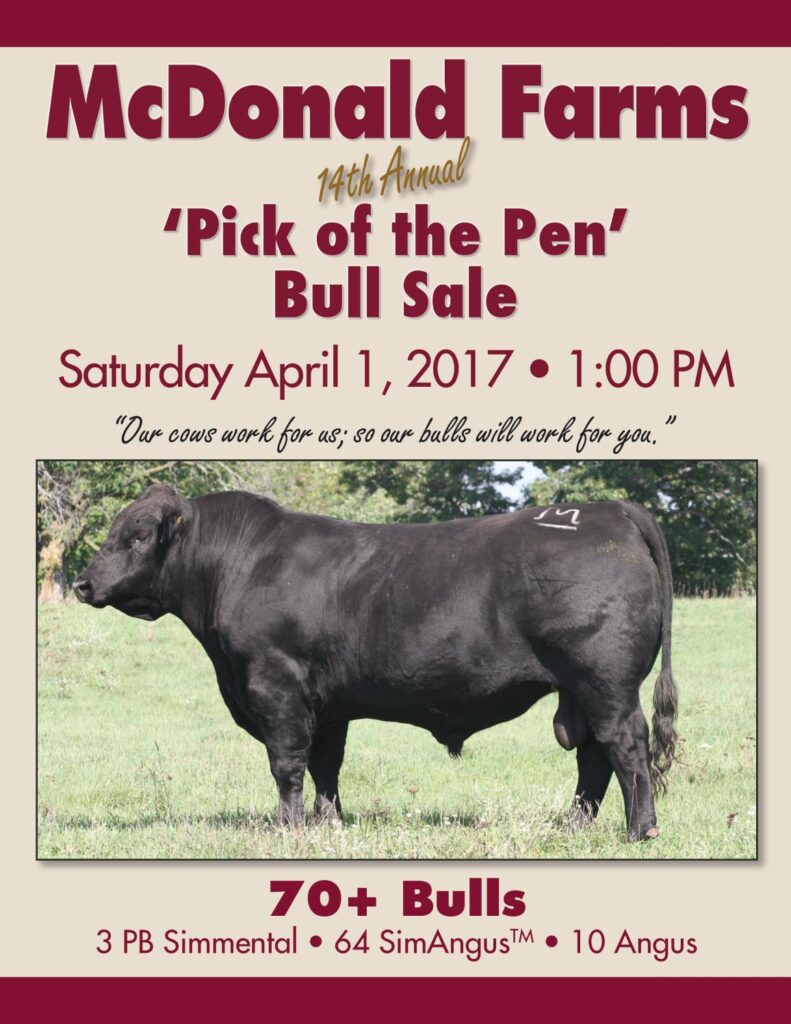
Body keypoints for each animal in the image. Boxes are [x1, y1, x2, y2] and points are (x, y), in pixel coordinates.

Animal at [72, 485, 679, 841]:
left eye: (137, 536)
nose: (82, 583)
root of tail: (611, 509)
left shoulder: (275, 685)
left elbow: (287, 763)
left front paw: (289, 829)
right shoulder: (327, 703)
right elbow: (326, 765)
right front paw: (329, 823)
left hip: (604, 683)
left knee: (626, 748)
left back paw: (639, 831)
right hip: (580, 690)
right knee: (594, 758)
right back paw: (573, 828)